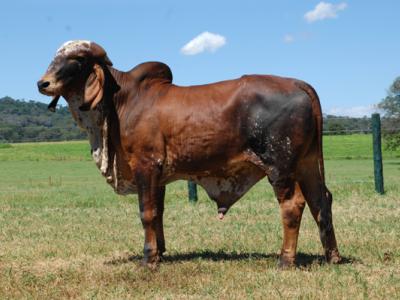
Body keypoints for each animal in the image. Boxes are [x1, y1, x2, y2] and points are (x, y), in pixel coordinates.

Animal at [37, 39, 340, 268]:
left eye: (76, 60)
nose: (43, 83)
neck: (120, 100)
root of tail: (299, 84)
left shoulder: (145, 165)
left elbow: (146, 212)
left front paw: (148, 259)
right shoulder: (158, 175)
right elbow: (157, 212)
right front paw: (159, 252)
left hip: (280, 166)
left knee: (293, 205)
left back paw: (285, 260)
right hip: (307, 164)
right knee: (320, 200)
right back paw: (333, 256)